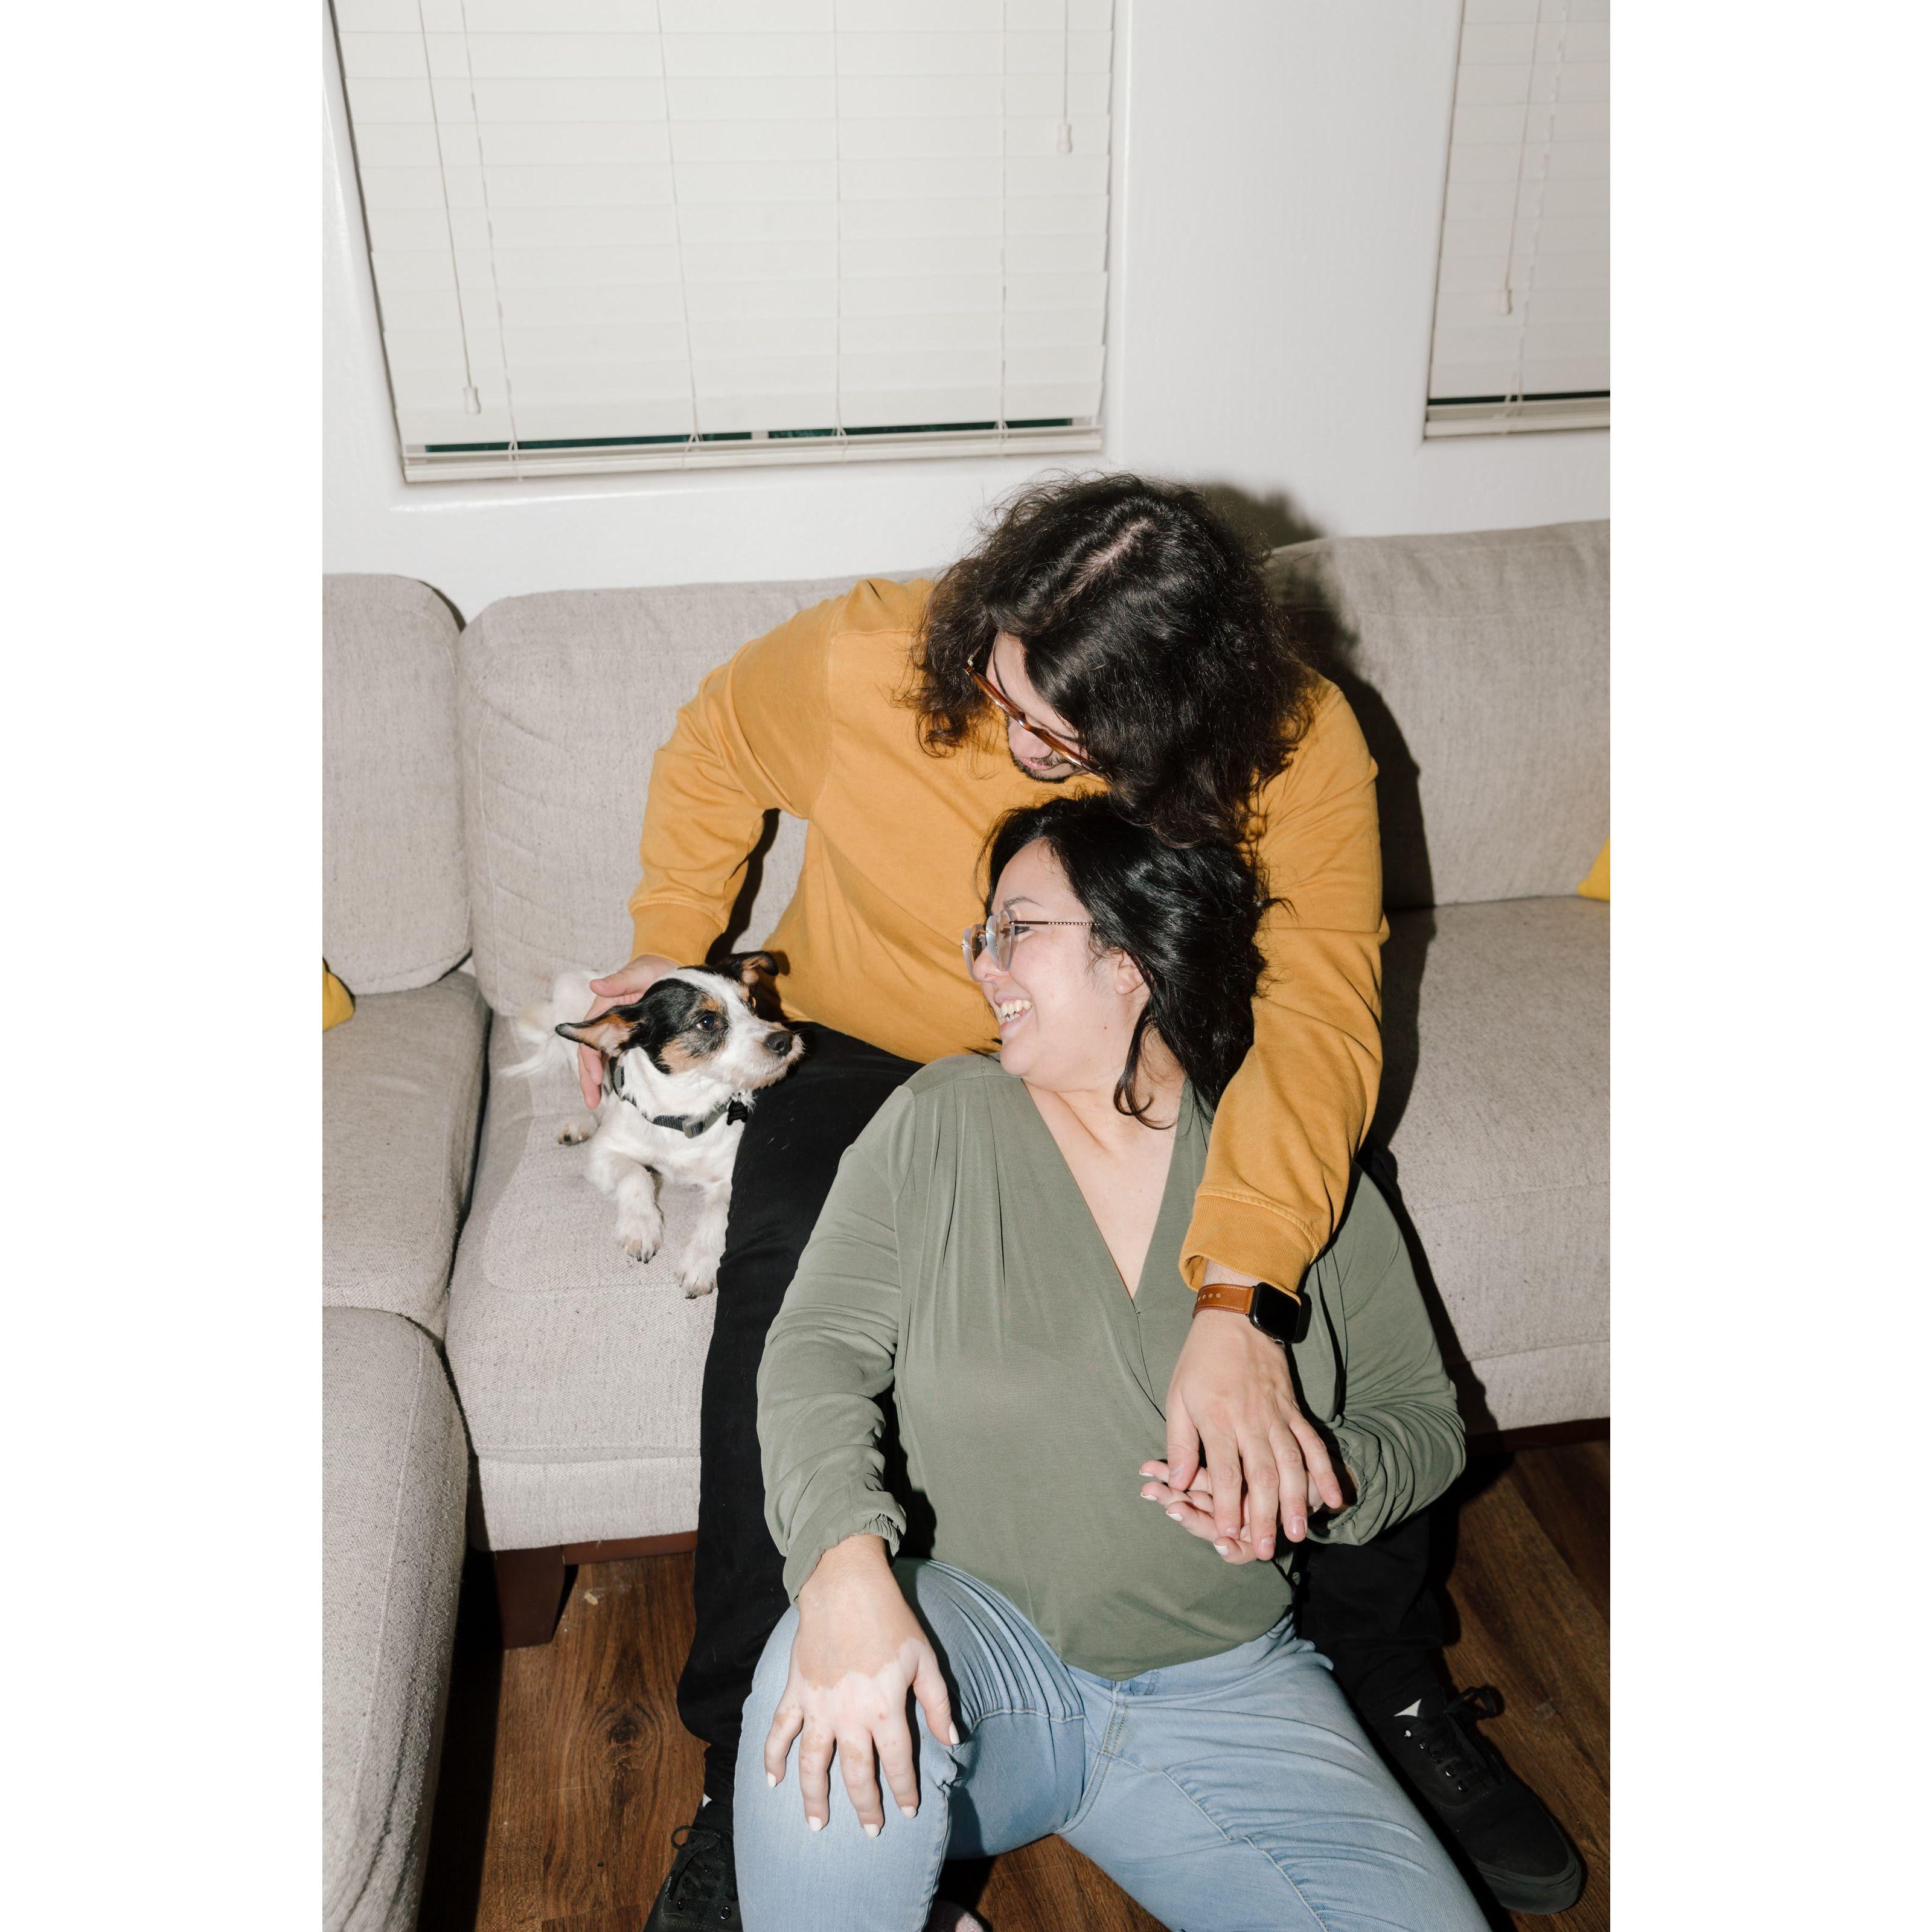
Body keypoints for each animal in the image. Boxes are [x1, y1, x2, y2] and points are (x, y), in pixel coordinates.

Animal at [504, 952, 804, 1297]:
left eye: (752, 1002)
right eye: (707, 1022)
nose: (784, 1040)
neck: (683, 1114)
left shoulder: (730, 1175)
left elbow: (717, 1211)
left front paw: (700, 1260)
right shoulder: (603, 1155)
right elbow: (637, 1174)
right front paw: (640, 1226)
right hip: (570, 1006)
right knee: (597, 1097)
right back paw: (582, 1121)